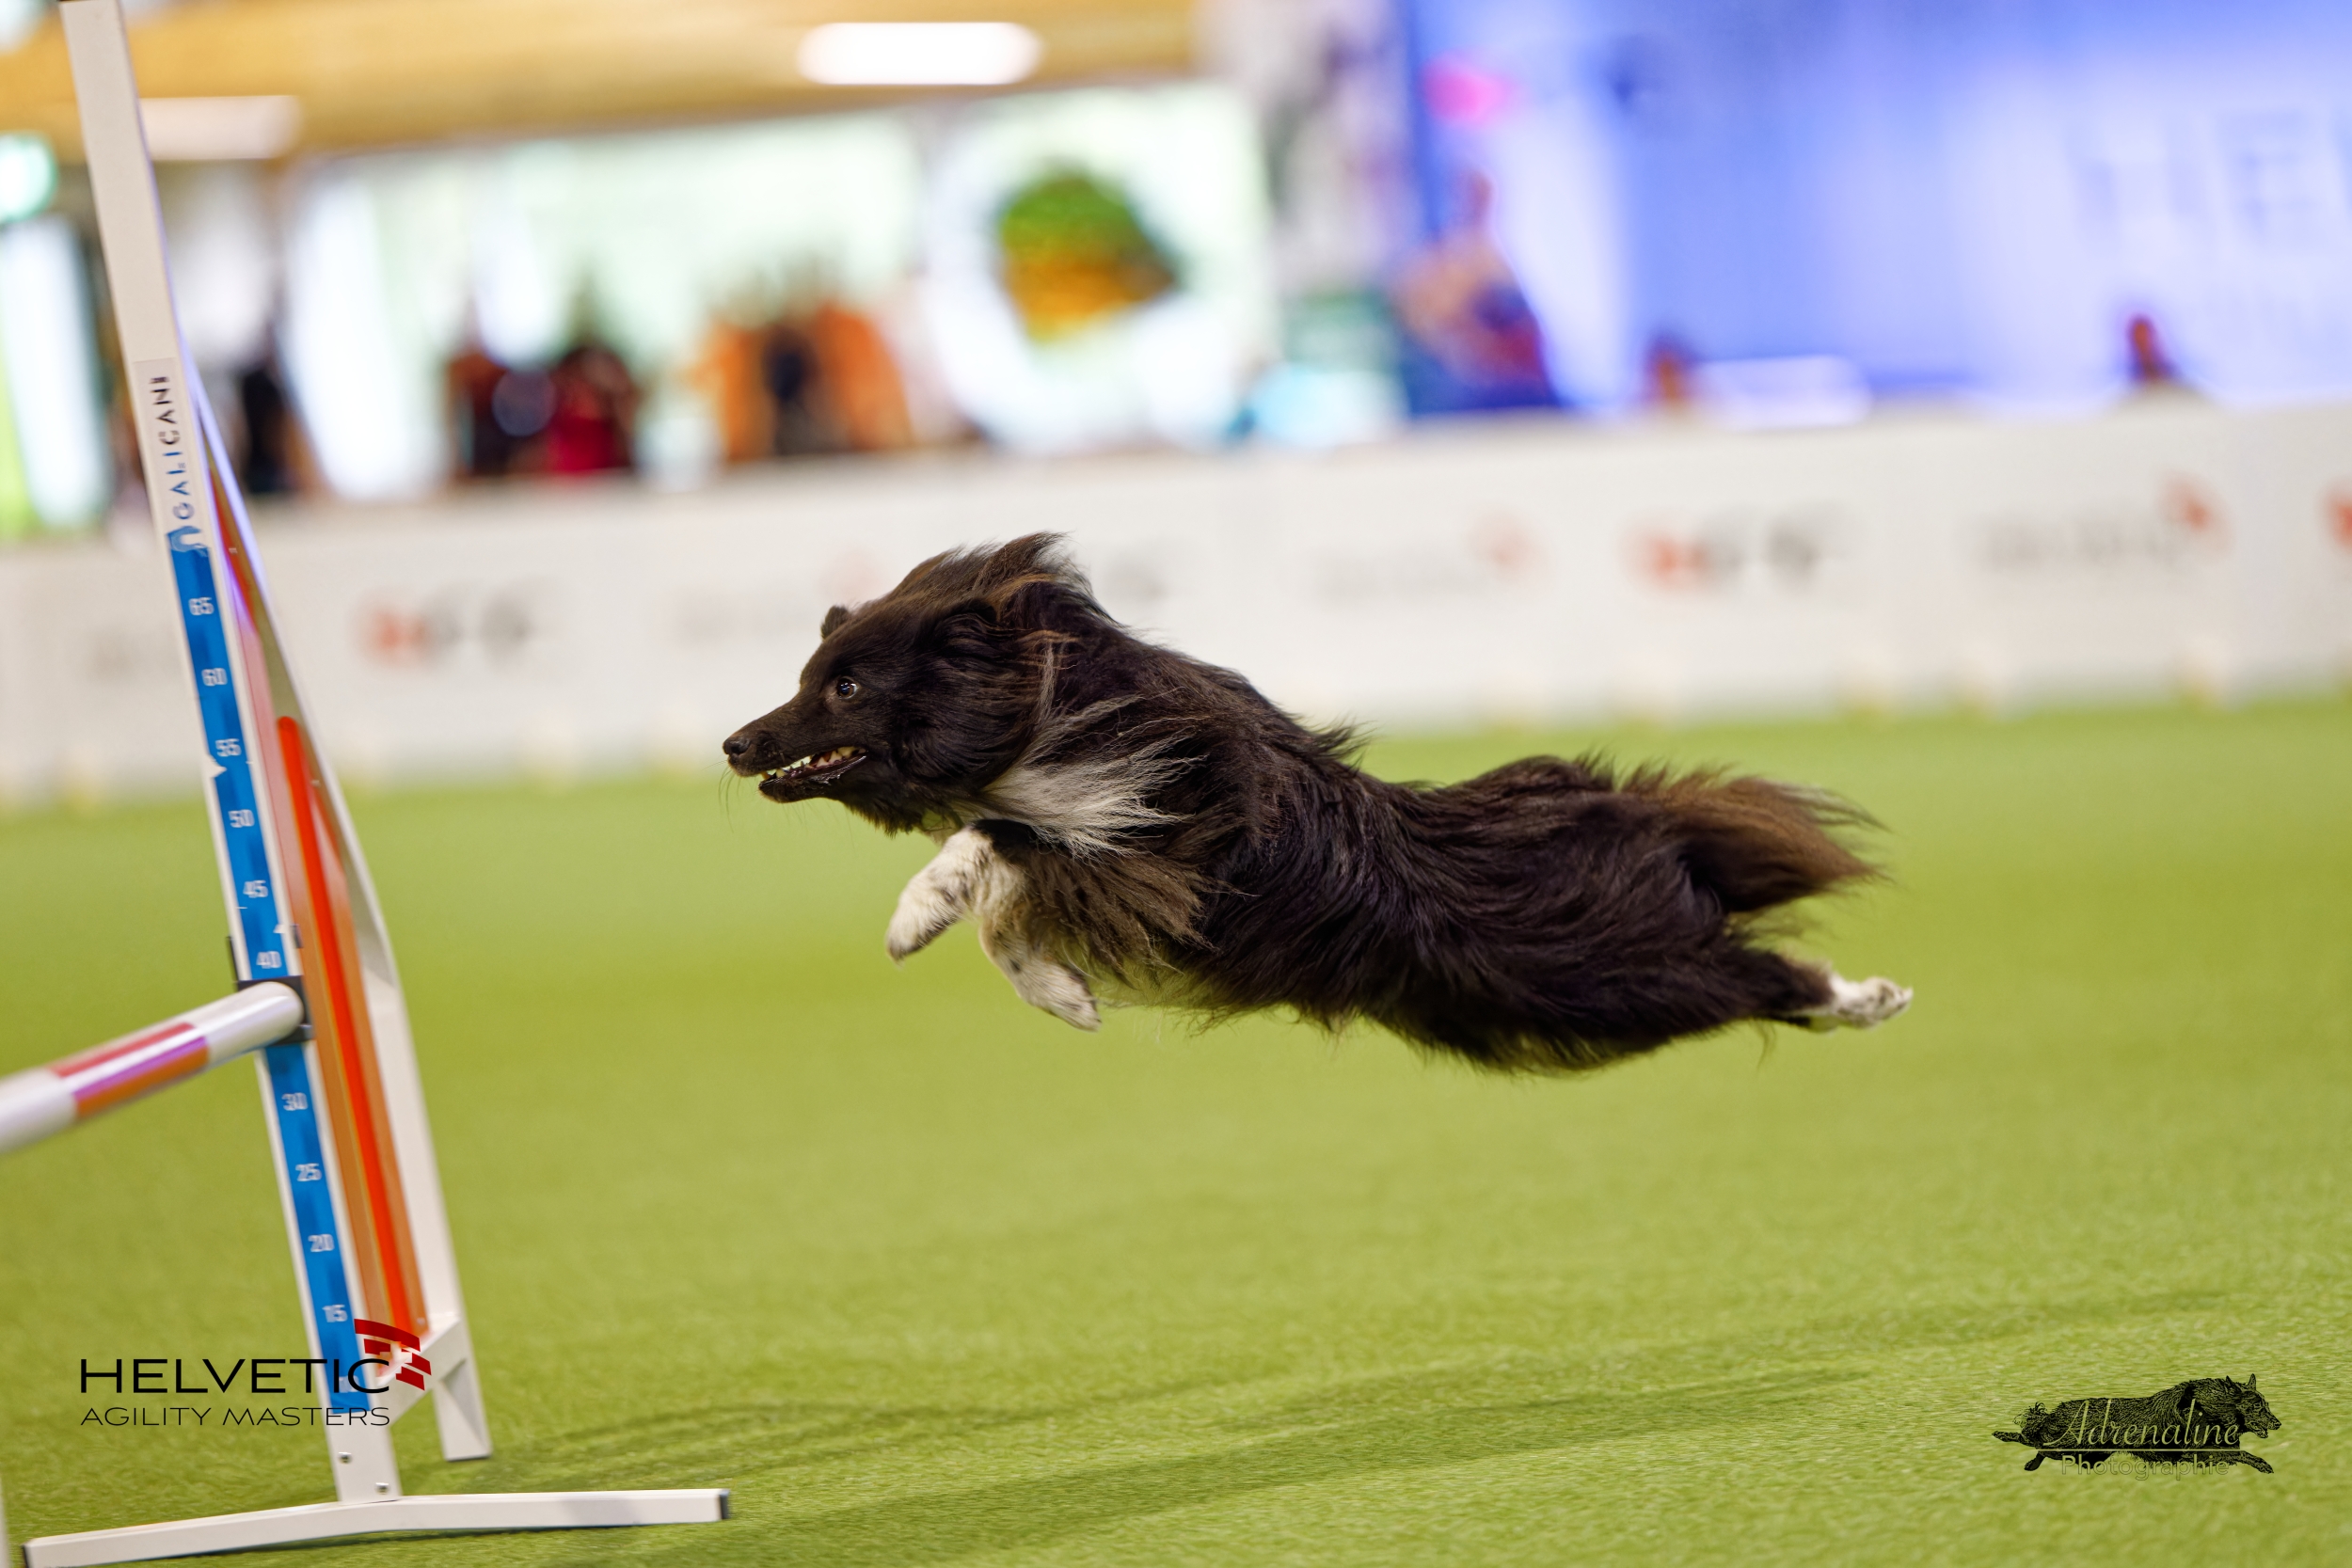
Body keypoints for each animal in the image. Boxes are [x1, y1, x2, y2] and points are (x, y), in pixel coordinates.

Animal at [723, 535, 1909, 1071]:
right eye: (805, 672)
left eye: (845, 686)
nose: (736, 743)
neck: (1053, 706)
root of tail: (1640, 819)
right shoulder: (1112, 853)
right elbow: (999, 880)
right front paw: (1044, 984)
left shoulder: (1157, 844)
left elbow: (996, 859)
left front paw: (937, 929)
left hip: (1607, 980)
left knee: (1760, 971)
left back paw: (1873, 995)